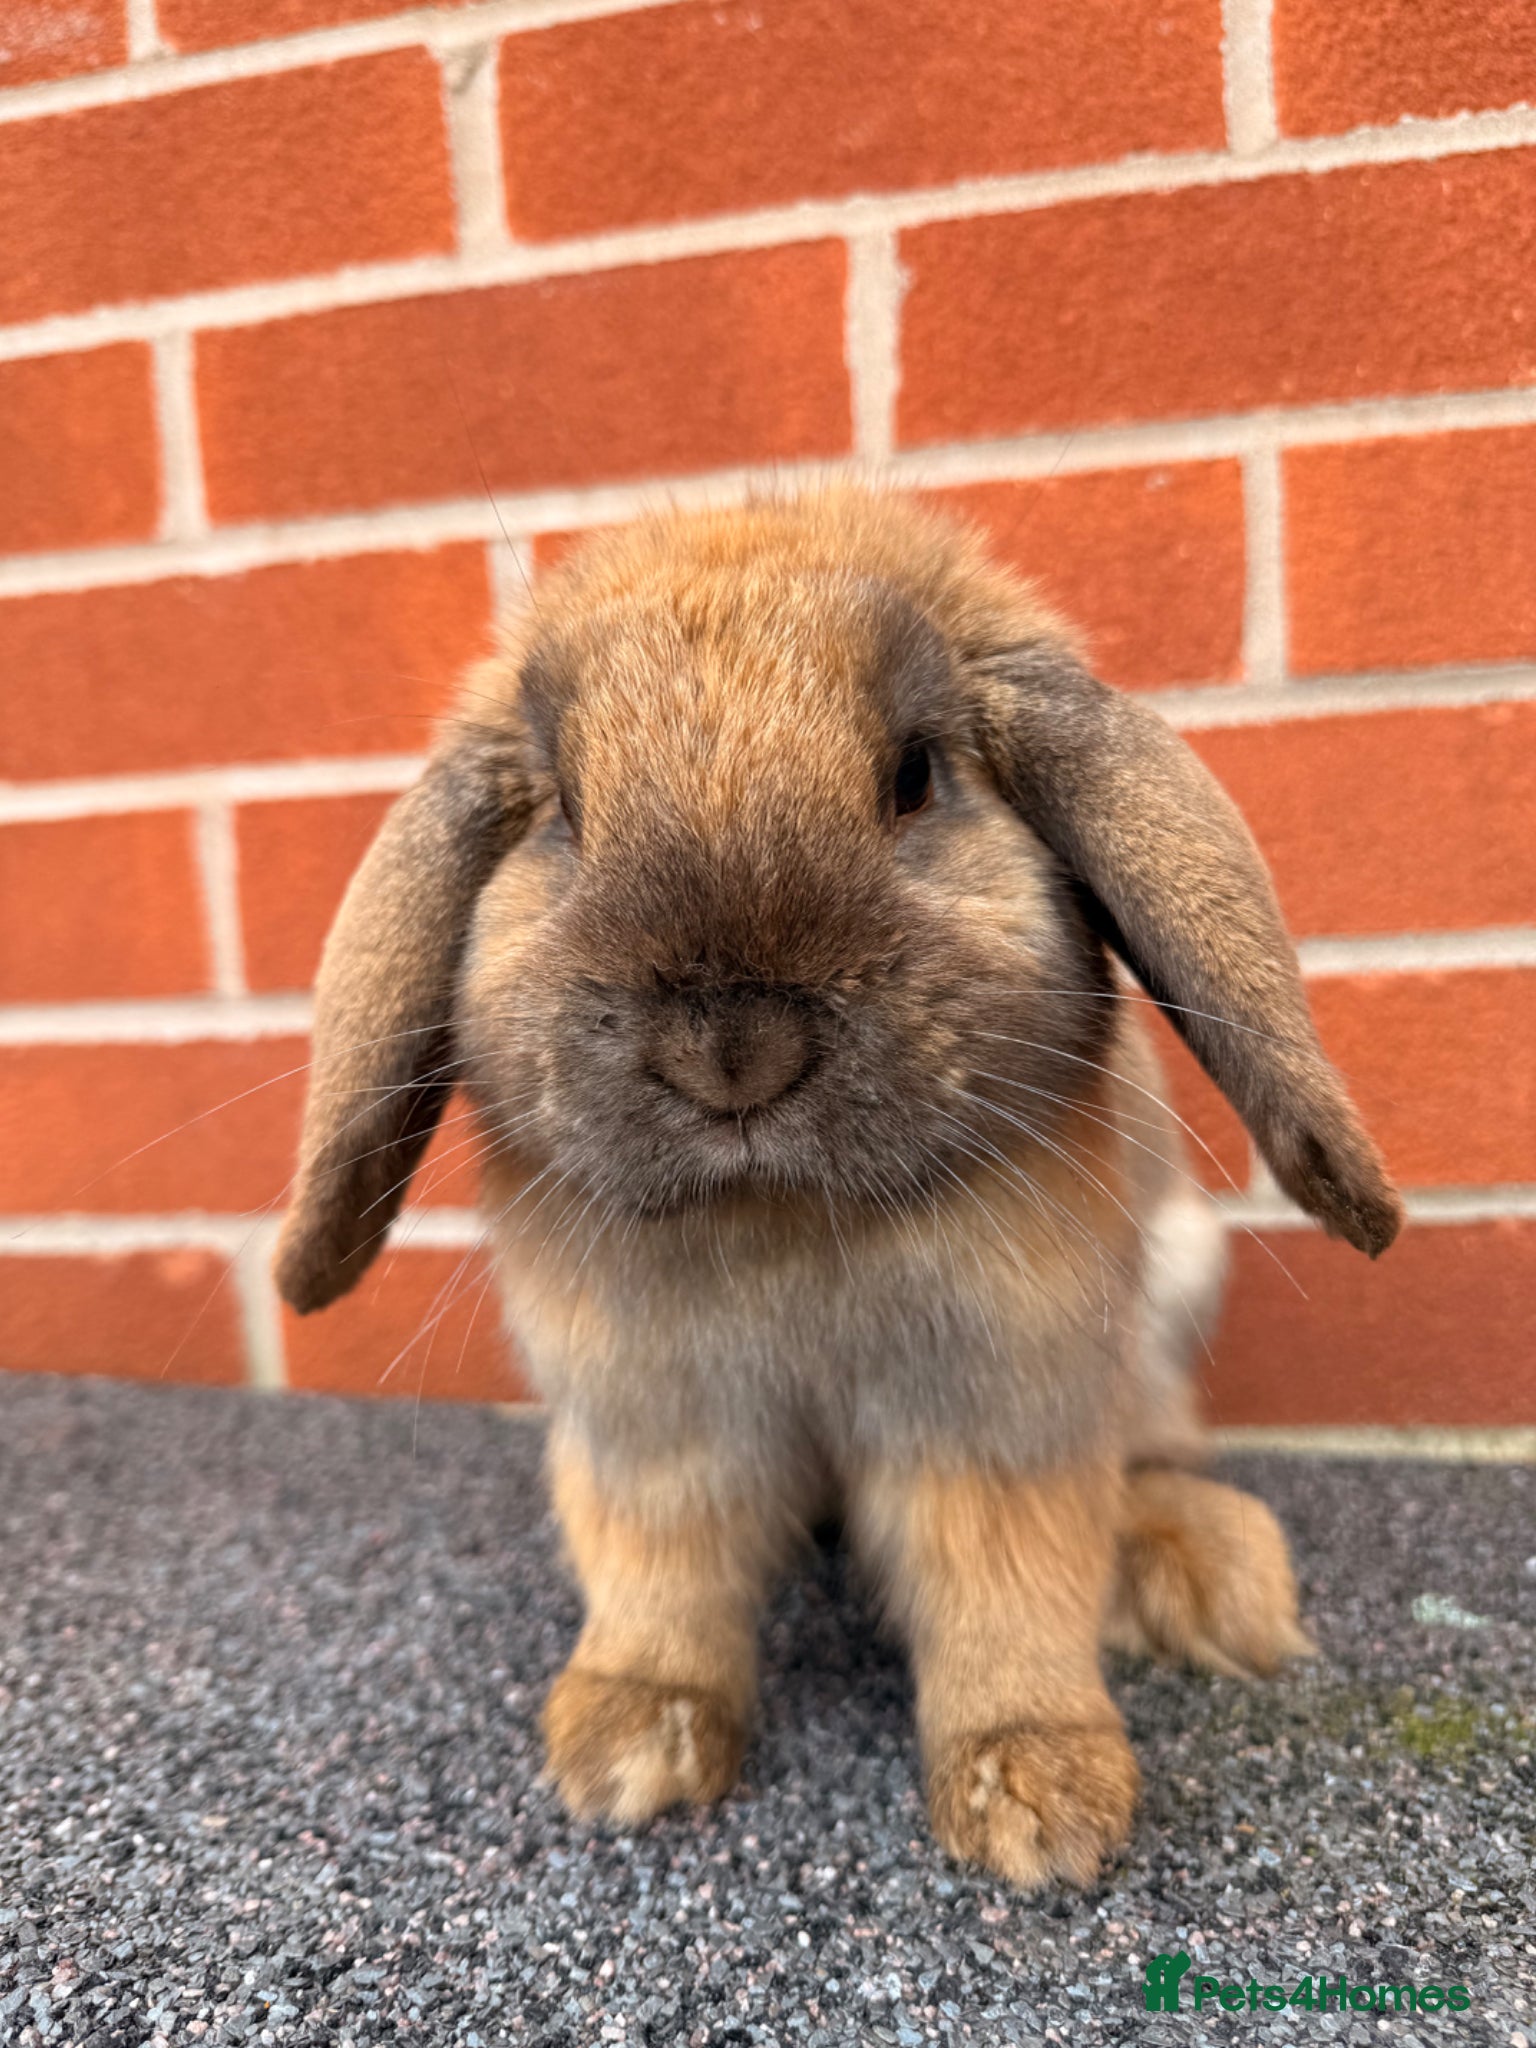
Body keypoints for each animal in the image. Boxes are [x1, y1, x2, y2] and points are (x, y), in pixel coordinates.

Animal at [274, 486, 1400, 1889]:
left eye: (913, 776)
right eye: (564, 812)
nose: (733, 1049)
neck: (783, 1221)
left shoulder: (995, 1408)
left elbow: (1010, 1590)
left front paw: (1039, 1794)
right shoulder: (652, 1428)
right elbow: (661, 1580)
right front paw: (627, 1744)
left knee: (1144, 1455)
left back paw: (1203, 1574)